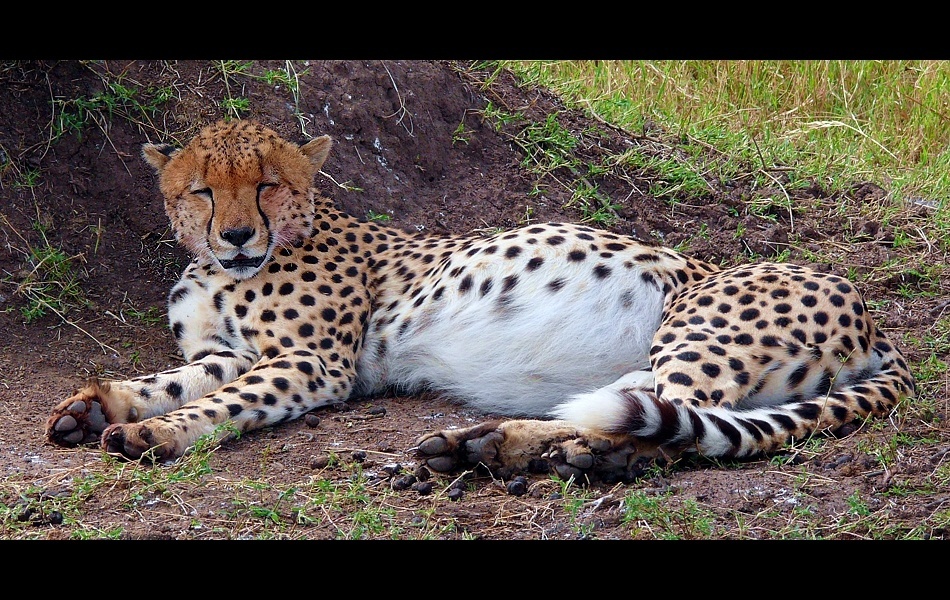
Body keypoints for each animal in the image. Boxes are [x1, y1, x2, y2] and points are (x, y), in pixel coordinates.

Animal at [44, 120, 916, 482]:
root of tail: (873, 313)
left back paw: (518, 450)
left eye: (266, 184)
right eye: (201, 189)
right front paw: (97, 407)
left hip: (697, 323)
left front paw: (157, 434)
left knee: (673, 425)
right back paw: (489, 444)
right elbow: (178, 377)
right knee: (643, 411)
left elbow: (221, 404)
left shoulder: (312, 363)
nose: (233, 237)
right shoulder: (230, 351)